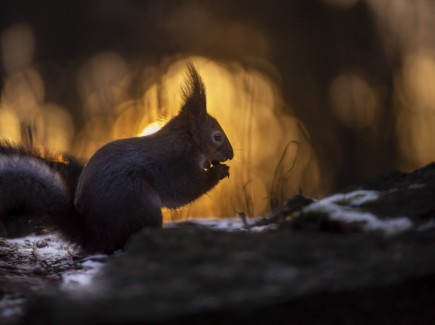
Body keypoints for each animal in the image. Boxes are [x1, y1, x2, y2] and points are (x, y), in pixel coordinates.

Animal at [0, 64, 235, 253]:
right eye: (217, 136)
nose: (231, 155)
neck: (184, 141)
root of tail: (93, 237)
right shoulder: (175, 165)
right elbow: (187, 189)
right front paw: (218, 171)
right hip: (139, 202)